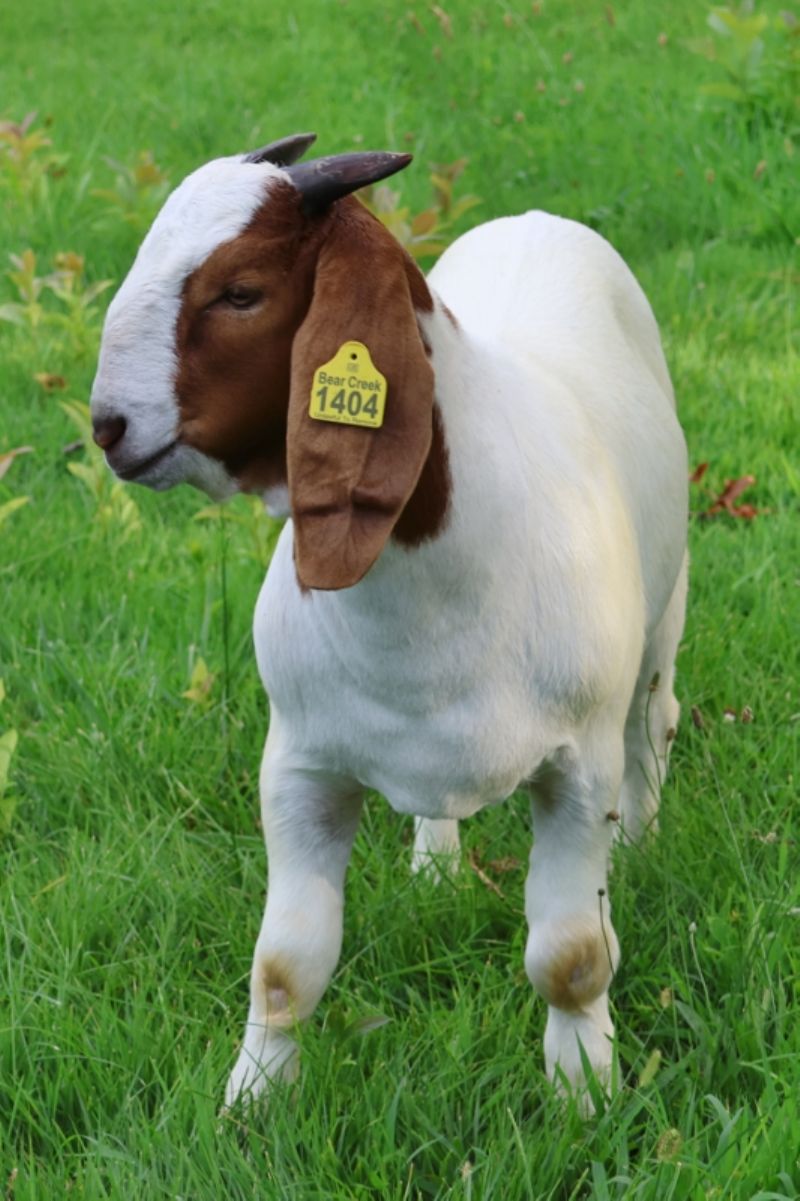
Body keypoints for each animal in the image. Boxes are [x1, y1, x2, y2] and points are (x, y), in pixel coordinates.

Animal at [90, 133, 688, 1108]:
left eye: (240, 290)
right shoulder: (300, 765)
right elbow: (284, 964)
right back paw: (436, 866)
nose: (108, 426)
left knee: (655, 722)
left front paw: (585, 1092)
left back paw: (639, 844)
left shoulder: (577, 767)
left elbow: (570, 956)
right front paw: (251, 1102)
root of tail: (537, 219)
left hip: (661, 622)